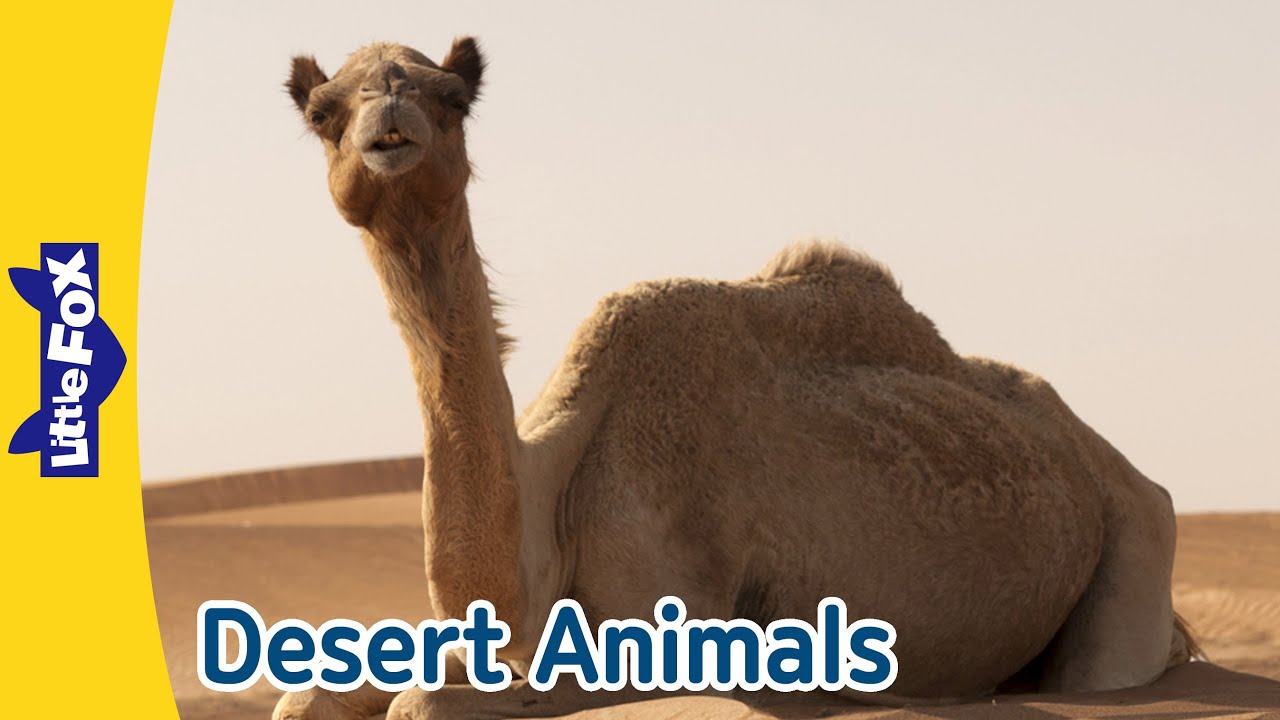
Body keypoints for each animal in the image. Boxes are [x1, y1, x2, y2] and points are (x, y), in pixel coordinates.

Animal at [275, 38, 1197, 720]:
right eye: (323, 112)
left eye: (452, 97)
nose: (391, 118)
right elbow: (312, 696)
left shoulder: (673, 614)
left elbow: (427, 701)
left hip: (1138, 532)